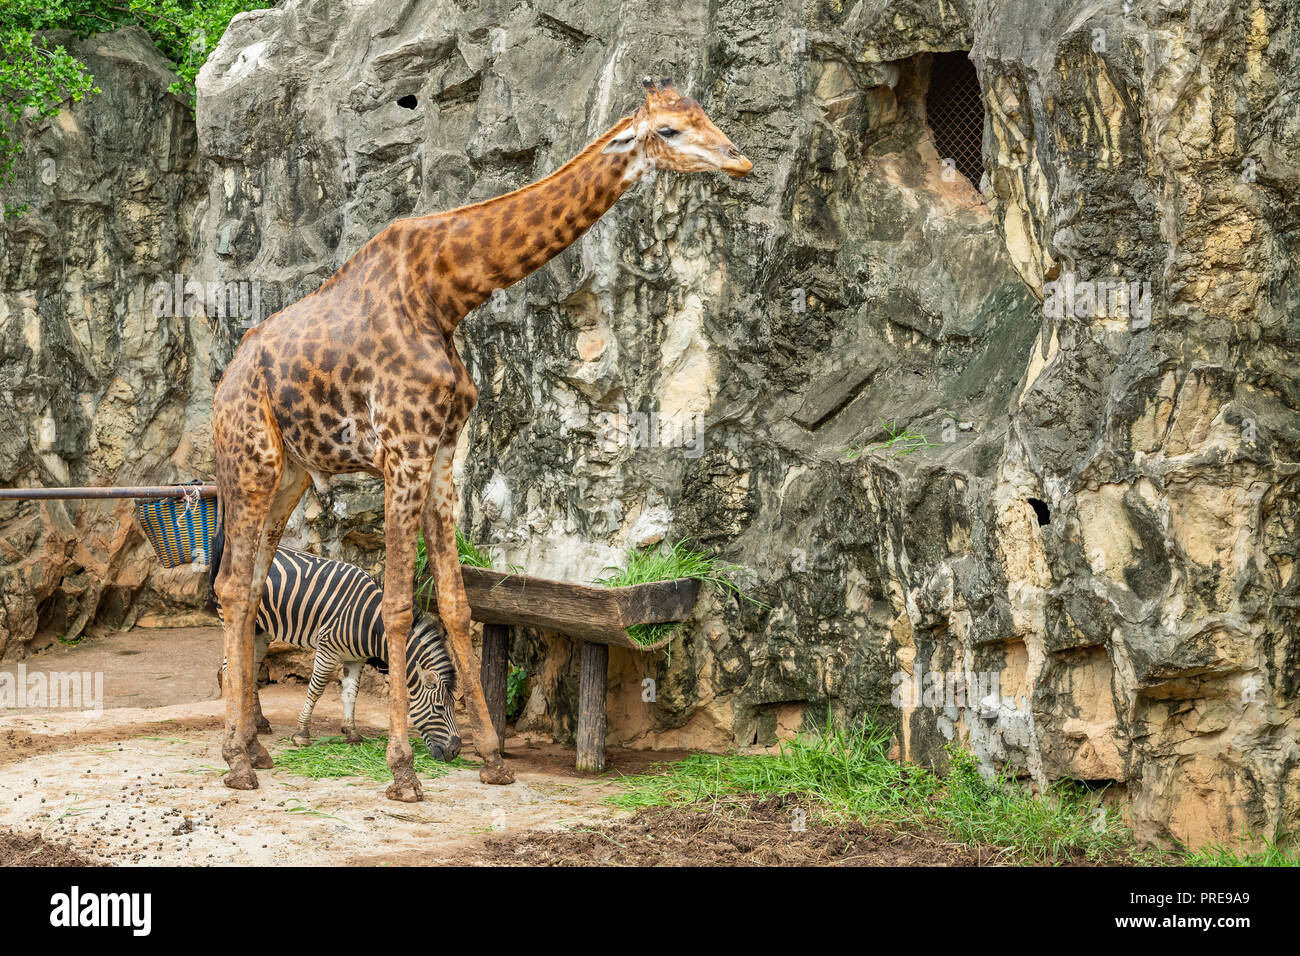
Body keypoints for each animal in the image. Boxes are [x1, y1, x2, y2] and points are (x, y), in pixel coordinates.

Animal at [208, 530, 461, 760]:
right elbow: (316, 690)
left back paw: (257, 722)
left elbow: (350, 692)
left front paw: (351, 732)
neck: (371, 623)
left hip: (260, 628)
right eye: (439, 708)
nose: (456, 751)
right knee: (230, 667)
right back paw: (237, 723)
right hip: (233, 618)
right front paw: (302, 733)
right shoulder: (327, 649)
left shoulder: (355, 658)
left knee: (250, 667)